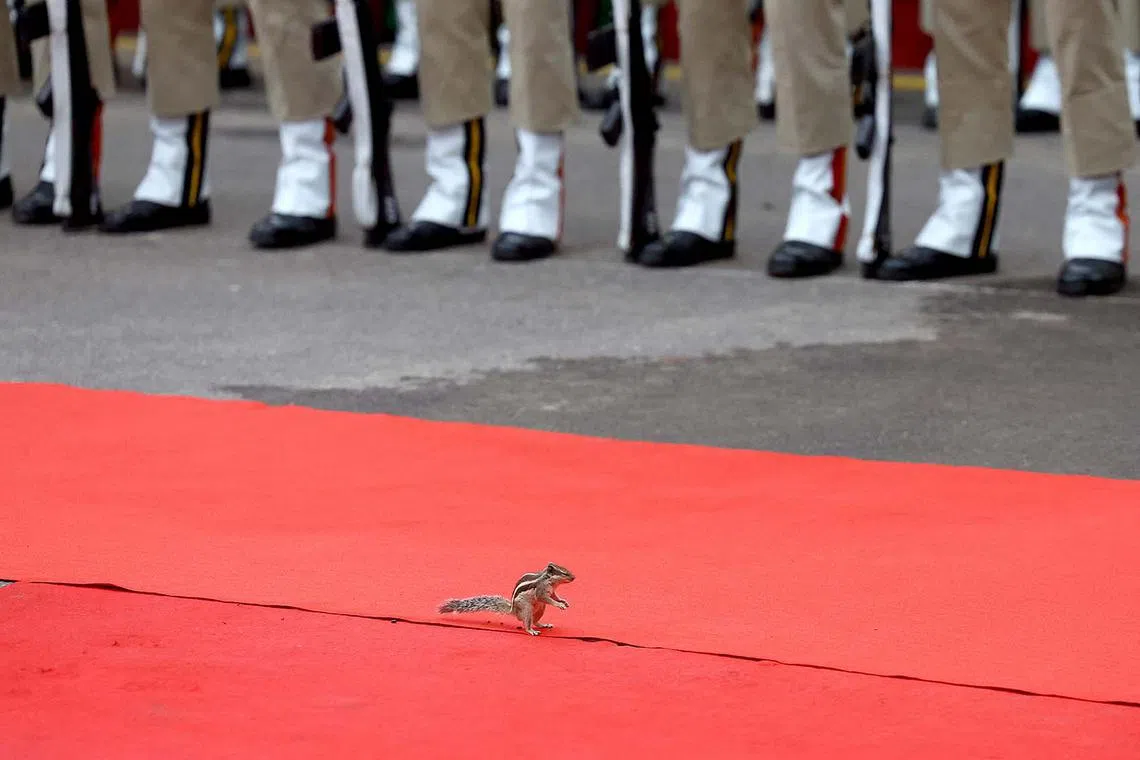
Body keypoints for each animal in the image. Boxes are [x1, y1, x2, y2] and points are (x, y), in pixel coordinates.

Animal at [438, 563, 575, 636]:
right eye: (564, 573)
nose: (574, 577)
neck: (550, 582)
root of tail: (513, 610)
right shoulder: (541, 591)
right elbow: (547, 598)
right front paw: (559, 605)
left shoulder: (552, 592)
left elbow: (554, 597)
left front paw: (563, 601)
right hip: (527, 608)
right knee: (527, 623)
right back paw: (531, 631)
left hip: (541, 608)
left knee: (535, 621)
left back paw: (543, 625)